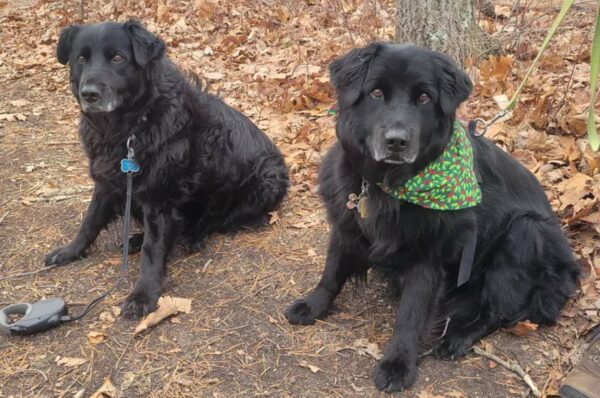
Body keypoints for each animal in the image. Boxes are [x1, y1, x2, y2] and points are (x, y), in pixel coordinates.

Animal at [288, 43, 580, 392]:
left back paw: (457, 338)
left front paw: (398, 363)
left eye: (424, 97)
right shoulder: (346, 226)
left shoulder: (428, 258)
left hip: (526, 231)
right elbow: (331, 273)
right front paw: (314, 305)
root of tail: (568, 269)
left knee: (496, 312)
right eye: (376, 92)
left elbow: (410, 315)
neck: (392, 184)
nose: (396, 142)